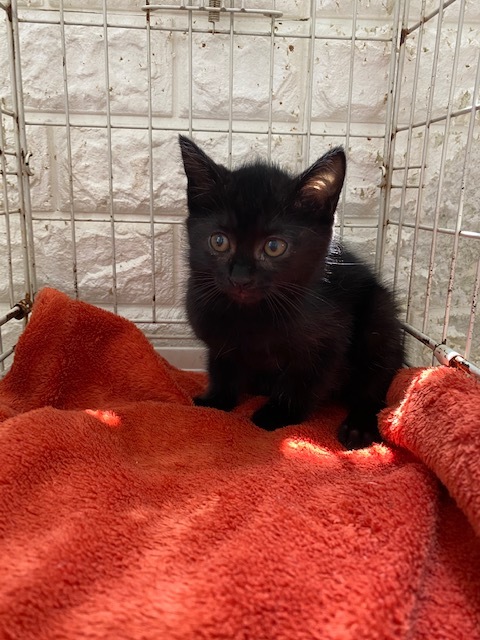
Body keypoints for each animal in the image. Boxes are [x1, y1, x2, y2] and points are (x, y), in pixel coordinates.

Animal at [179, 135, 404, 449]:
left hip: (380, 316)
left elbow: (303, 381)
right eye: (219, 241)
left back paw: (360, 425)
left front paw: (276, 415)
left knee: (376, 379)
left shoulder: (328, 342)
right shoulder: (217, 338)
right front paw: (216, 401)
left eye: (274, 247)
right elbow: (222, 367)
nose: (240, 278)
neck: (253, 313)